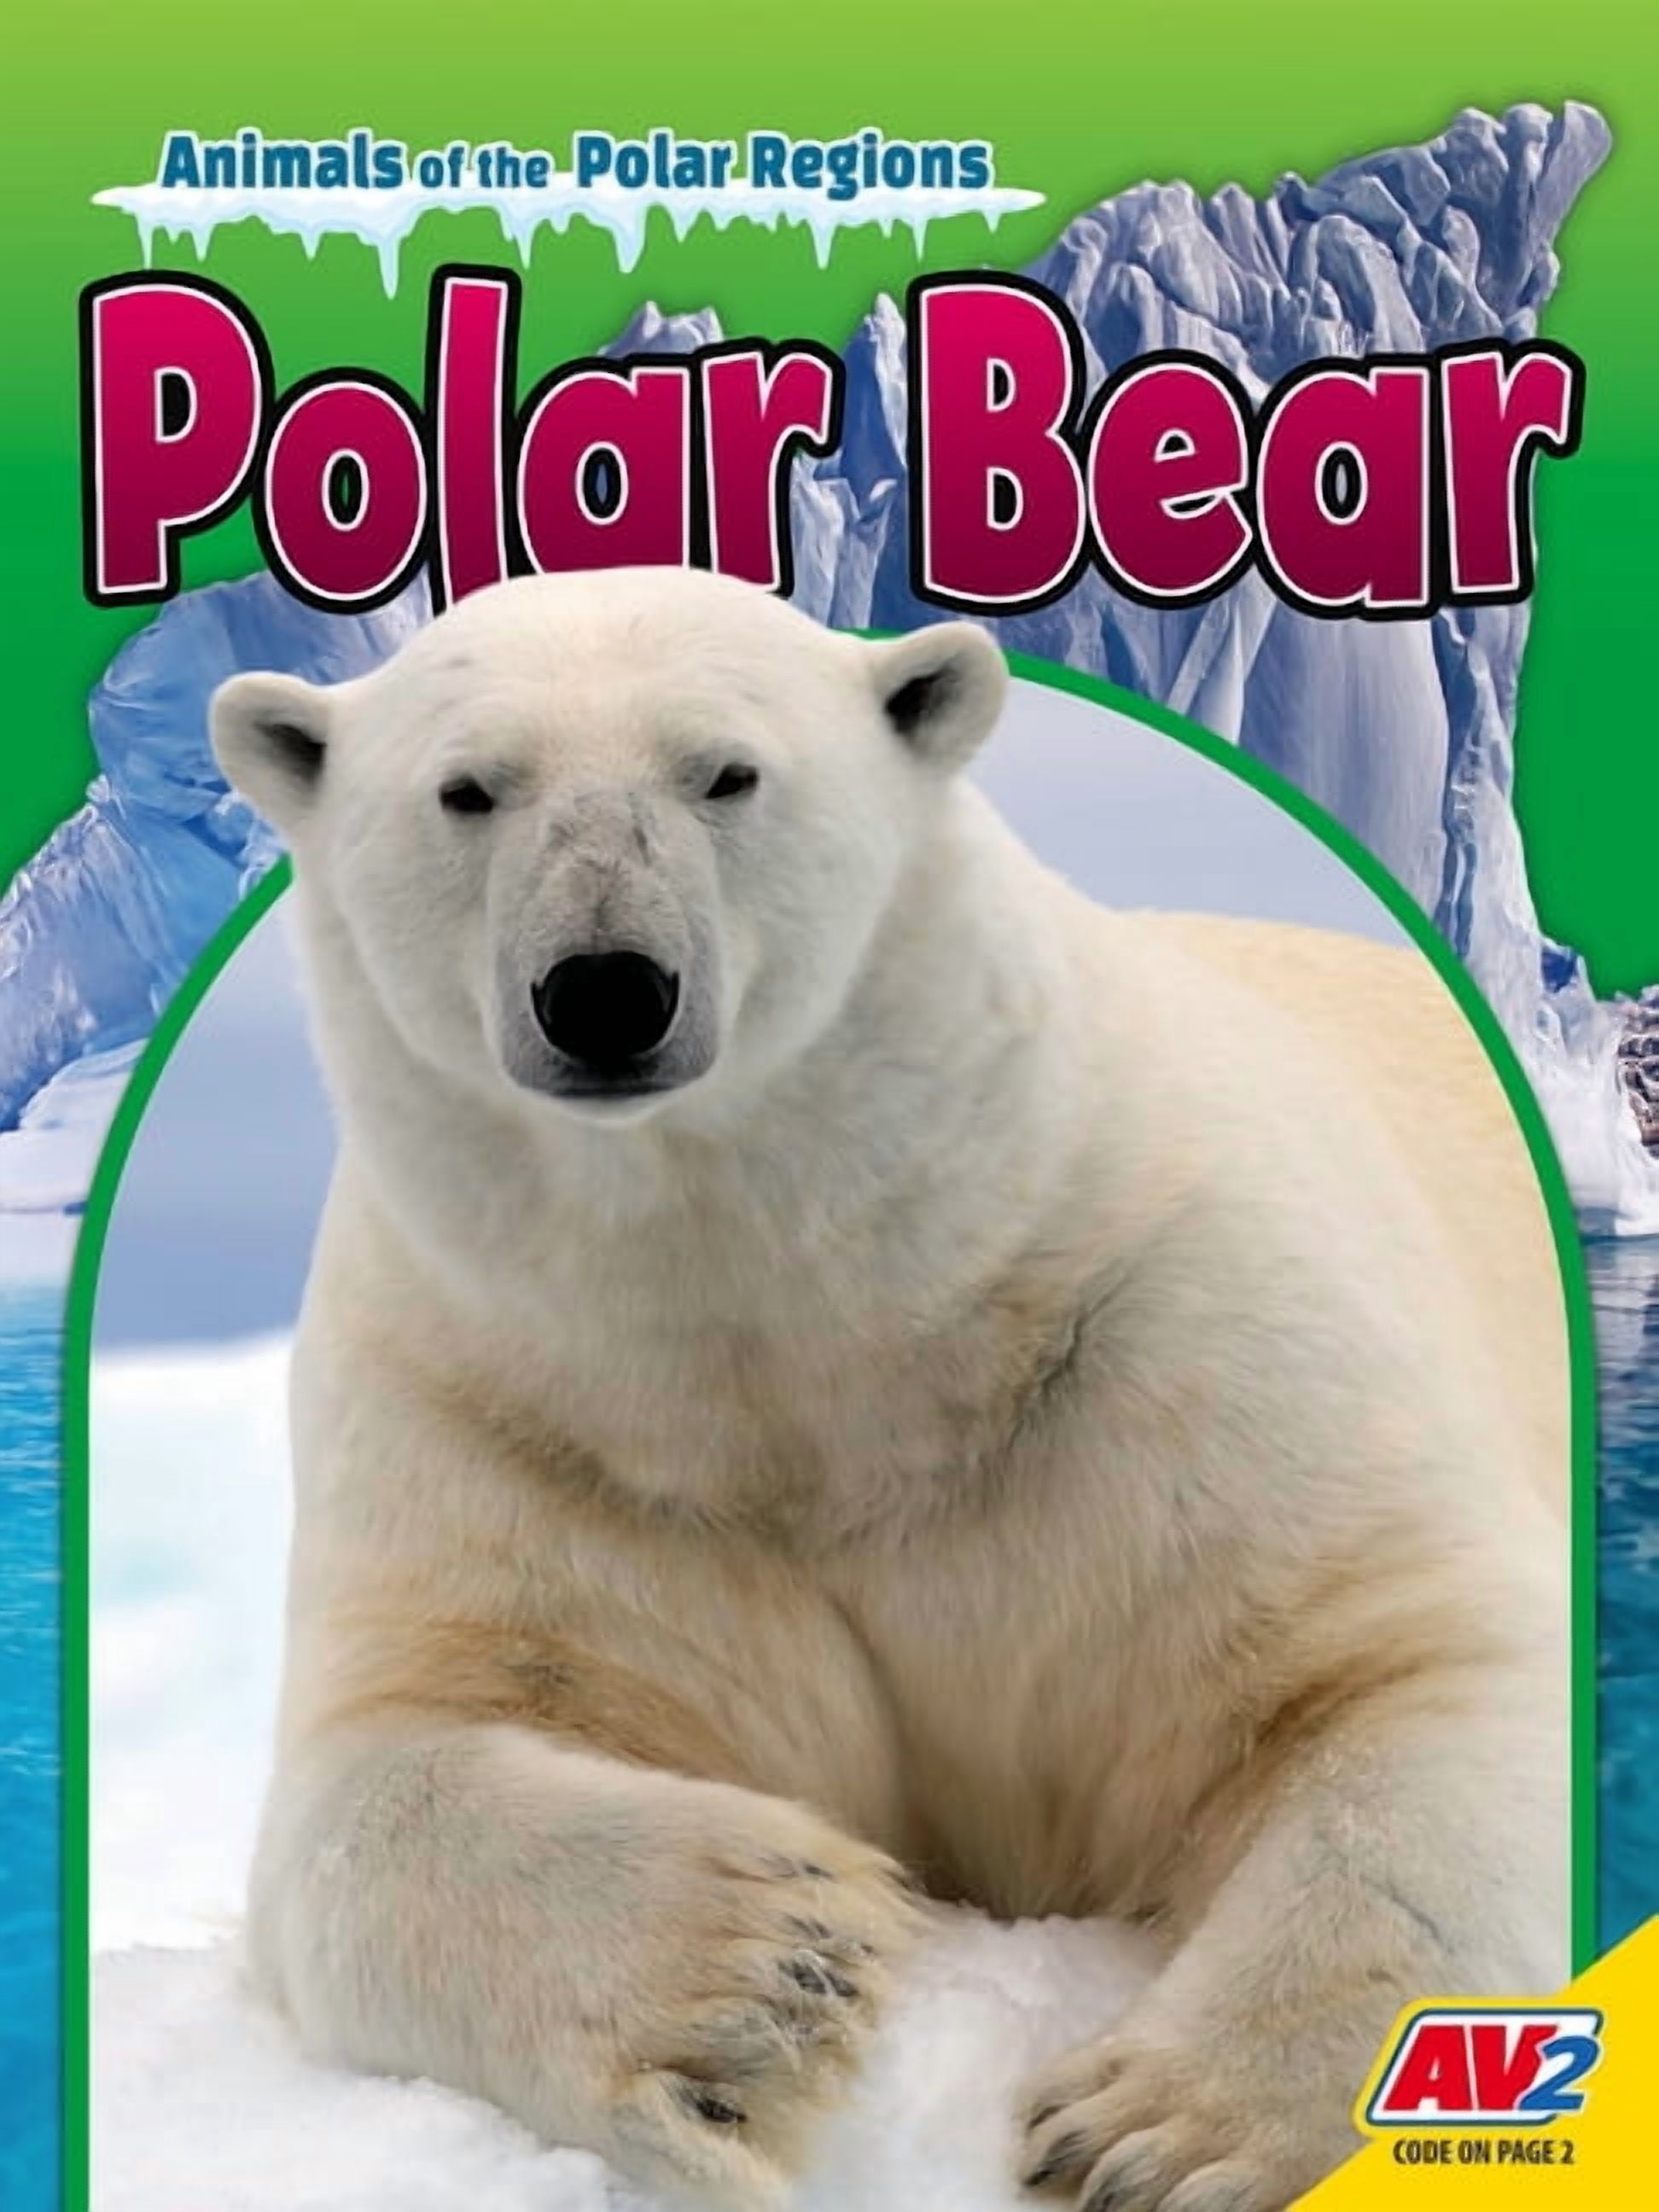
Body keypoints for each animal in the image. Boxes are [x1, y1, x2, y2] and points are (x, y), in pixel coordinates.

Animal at [210, 566, 1569, 2212]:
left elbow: (1403, 1660)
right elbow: (381, 1775)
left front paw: (1159, 2140)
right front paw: (768, 1969)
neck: (844, 1341)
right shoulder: (508, 1415)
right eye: (468, 788)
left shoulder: (1174, 1332)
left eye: (724, 771)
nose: (604, 989)